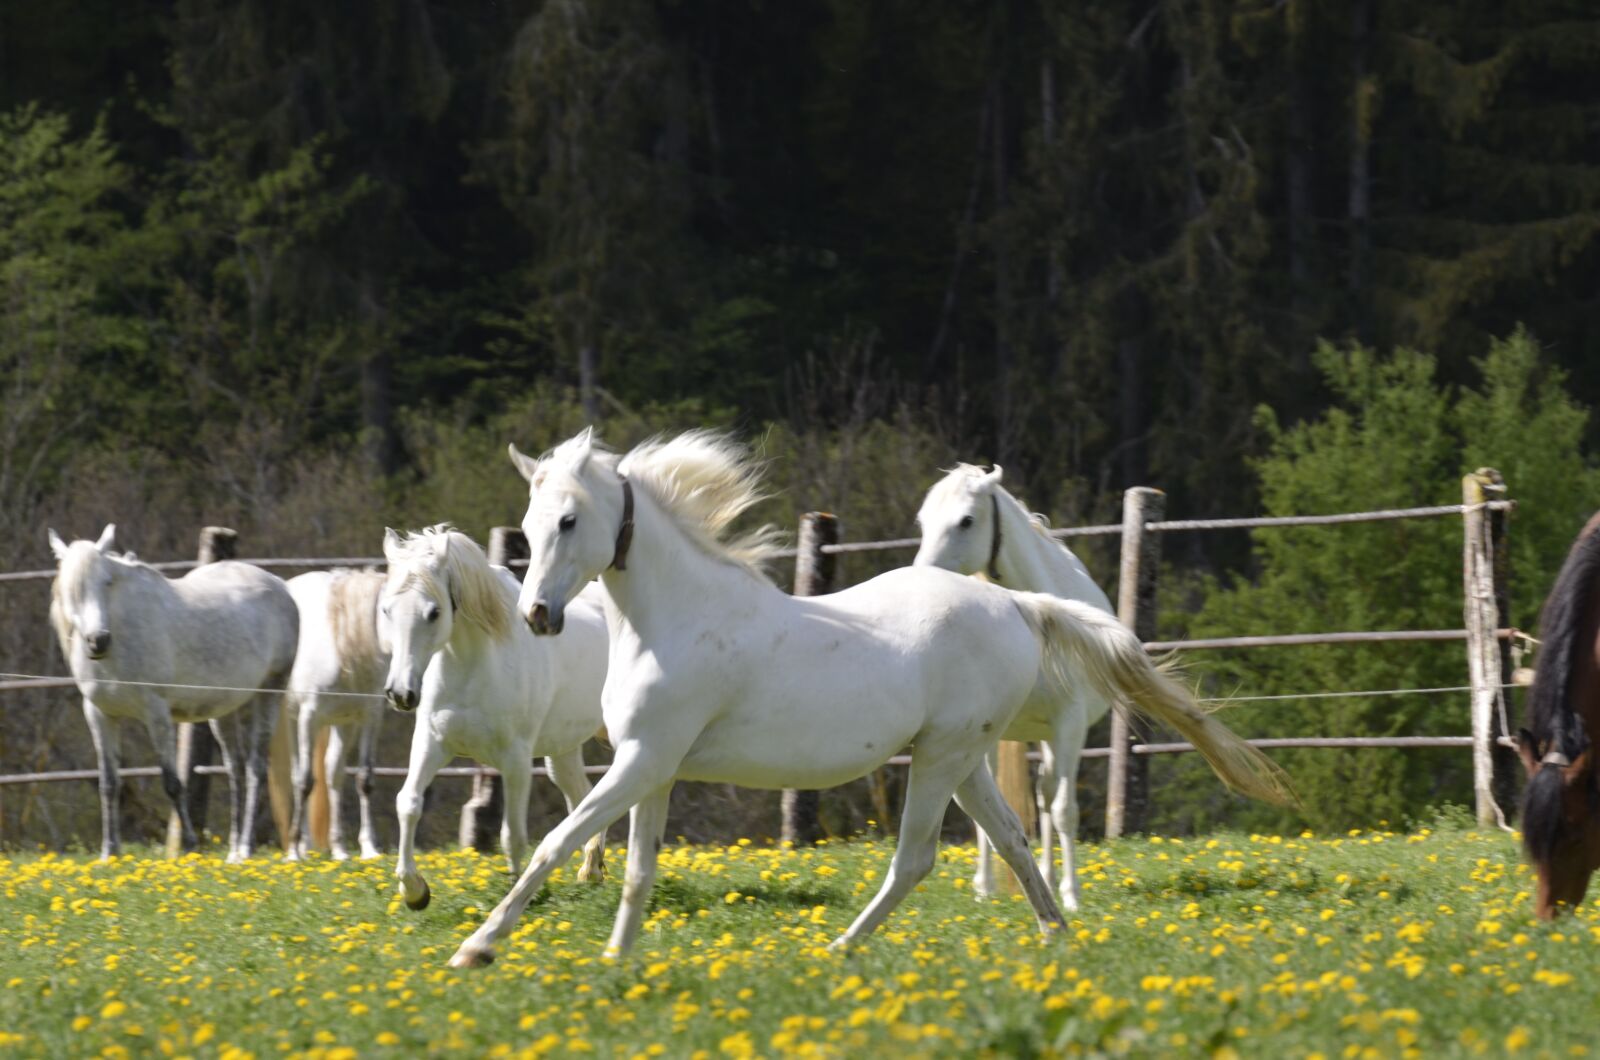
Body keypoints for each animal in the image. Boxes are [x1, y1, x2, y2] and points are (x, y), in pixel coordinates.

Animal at [47, 525, 299, 861]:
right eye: (72, 588)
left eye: (107, 582)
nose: (98, 641)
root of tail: (280, 586)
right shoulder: (99, 714)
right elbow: (109, 783)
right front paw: (109, 852)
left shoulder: (156, 713)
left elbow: (172, 782)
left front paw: (190, 844)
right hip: (227, 709)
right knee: (236, 769)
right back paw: (233, 851)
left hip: (269, 692)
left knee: (257, 767)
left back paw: (245, 847)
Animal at [283, 569, 390, 861]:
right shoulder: (309, 716)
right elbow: (305, 781)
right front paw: (293, 851)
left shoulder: (369, 718)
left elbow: (364, 779)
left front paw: (369, 848)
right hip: (289, 720)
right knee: (298, 775)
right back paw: (301, 847)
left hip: (342, 724)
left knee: (333, 773)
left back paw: (338, 849)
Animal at [379, 525, 608, 910]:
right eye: (386, 609)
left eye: (434, 612)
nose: (401, 693)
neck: (474, 665)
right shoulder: (432, 743)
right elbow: (408, 803)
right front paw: (414, 891)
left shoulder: (515, 760)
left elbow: (512, 834)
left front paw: (518, 896)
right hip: (561, 752)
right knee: (585, 797)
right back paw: (591, 870)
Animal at [914, 463, 1114, 910]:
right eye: (922, 522)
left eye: (966, 520)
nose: (922, 577)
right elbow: (986, 814)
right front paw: (984, 887)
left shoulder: (1070, 726)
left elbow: (1064, 810)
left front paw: (1072, 896)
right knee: (1038, 795)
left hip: (1054, 737)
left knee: (1049, 796)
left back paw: (1051, 878)